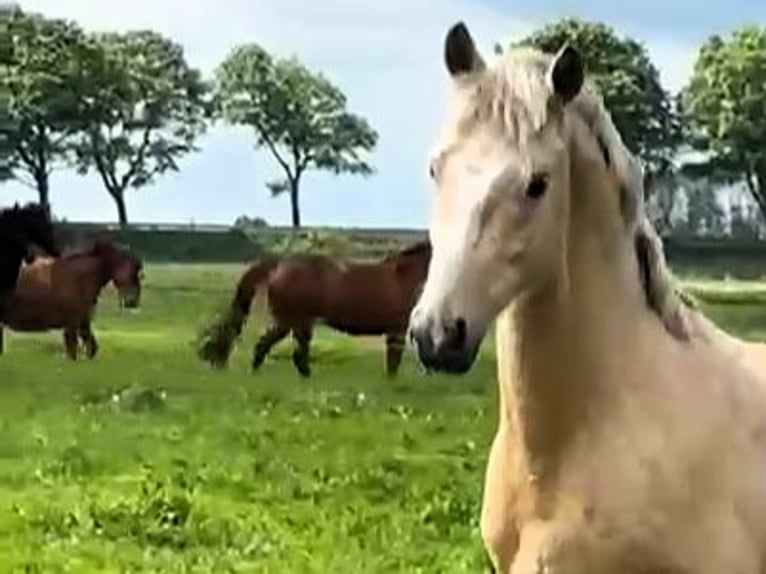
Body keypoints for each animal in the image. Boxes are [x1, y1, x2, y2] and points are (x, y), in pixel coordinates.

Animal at [0, 238, 143, 359]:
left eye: (139, 272)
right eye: (131, 269)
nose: (132, 302)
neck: (79, 279)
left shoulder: (83, 323)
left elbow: (92, 349)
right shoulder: (71, 325)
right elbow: (73, 352)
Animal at [197, 240, 431, 378]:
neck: (408, 275)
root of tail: (279, 265)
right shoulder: (398, 329)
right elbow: (394, 361)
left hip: (297, 324)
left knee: (293, 354)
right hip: (290, 321)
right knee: (270, 347)